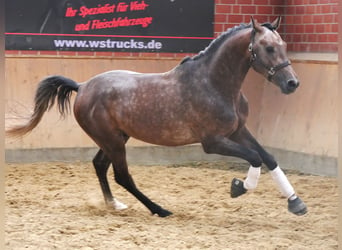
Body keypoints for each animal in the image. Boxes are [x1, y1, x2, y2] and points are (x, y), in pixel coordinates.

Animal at [6, 17, 308, 217]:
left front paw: (295, 203)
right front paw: (238, 187)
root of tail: (82, 87)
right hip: (112, 140)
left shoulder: (238, 131)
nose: (292, 83)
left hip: (116, 138)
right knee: (122, 175)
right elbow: (255, 157)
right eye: (268, 48)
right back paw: (159, 209)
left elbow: (269, 158)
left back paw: (114, 204)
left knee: (100, 166)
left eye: (283, 45)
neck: (215, 83)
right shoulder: (213, 142)